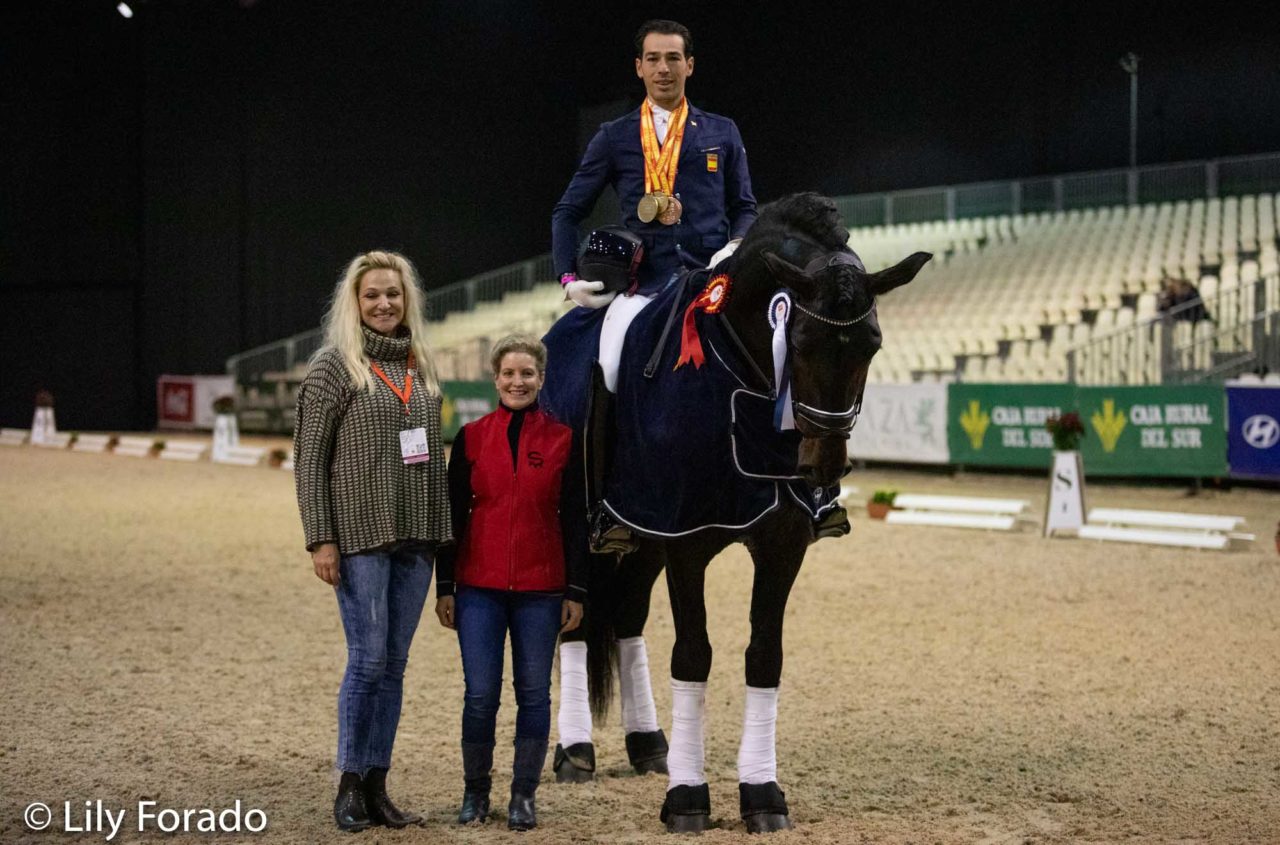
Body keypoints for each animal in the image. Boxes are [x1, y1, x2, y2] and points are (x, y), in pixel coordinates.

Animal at [542, 192, 931, 829]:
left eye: (872, 344)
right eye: (799, 340)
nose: (822, 466)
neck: (738, 382)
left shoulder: (779, 543)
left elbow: (764, 657)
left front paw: (763, 794)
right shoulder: (686, 539)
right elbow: (693, 656)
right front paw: (687, 799)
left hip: (642, 533)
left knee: (625, 617)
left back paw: (648, 744)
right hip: (578, 520)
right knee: (572, 617)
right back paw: (575, 750)